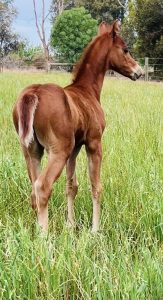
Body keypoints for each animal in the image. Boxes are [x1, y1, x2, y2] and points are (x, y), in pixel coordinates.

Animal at [12, 21, 143, 233]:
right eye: (126, 49)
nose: (138, 71)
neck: (87, 90)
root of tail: (33, 93)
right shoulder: (94, 143)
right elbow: (96, 186)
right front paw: (95, 229)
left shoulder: (75, 148)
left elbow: (71, 186)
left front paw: (70, 224)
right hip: (58, 151)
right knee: (42, 187)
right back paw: (44, 235)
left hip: (31, 151)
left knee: (34, 188)